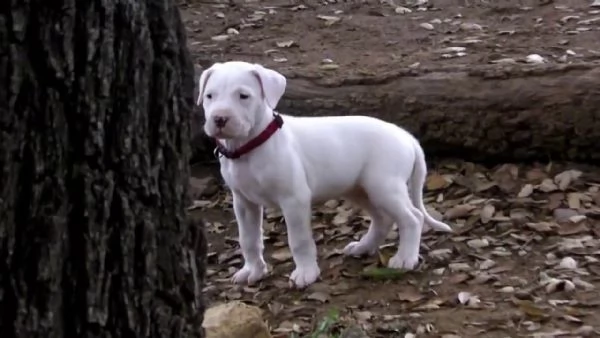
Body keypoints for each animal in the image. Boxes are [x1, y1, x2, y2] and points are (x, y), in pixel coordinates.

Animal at [199, 60, 452, 288]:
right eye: (210, 96)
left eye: (243, 96)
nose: (219, 119)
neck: (250, 145)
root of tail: (406, 136)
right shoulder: (244, 202)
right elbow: (248, 239)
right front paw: (253, 270)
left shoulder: (294, 199)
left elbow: (299, 240)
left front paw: (306, 273)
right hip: (361, 189)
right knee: (383, 219)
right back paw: (363, 247)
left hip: (384, 187)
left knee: (412, 218)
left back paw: (405, 258)